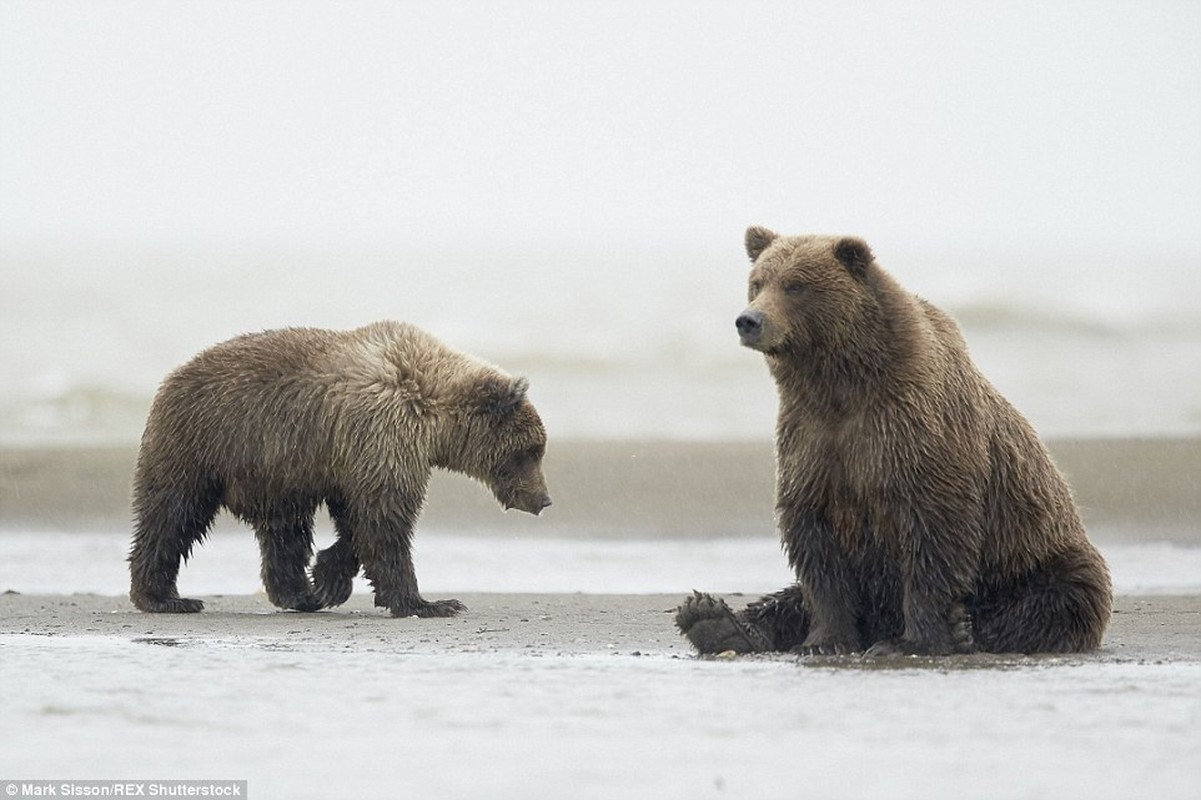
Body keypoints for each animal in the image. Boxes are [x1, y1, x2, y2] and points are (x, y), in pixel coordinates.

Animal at [129, 319, 550, 615]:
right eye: (531, 451)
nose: (544, 499)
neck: (431, 415)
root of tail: (171, 376)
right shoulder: (384, 434)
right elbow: (384, 519)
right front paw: (430, 603)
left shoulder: (353, 456)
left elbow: (357, 518)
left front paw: (330, 576)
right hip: (202, 444)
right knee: (172, 515)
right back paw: (165, 597)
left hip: (276, 470)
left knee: (285, 531)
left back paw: (300, 593)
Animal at [677, 229, 1114, 653]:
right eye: (757, 282)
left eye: (796, 285)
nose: (749, 320)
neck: (840, 385)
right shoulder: (810, 439)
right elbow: (814, 547)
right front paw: (824, 640)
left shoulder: (915, 432)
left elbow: (934, 535)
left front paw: (913, 641)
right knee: (788, 598)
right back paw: (714, 621)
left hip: (1039, 553)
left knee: (1057, 598)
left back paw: (966, 630)